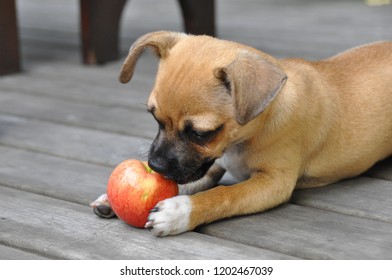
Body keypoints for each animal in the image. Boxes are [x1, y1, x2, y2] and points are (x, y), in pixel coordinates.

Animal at [92, 31, 392, 236]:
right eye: (154, 118)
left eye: (201, 134)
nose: (154, 166)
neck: (245, 137)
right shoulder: (209, 167)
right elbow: (185, 183)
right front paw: (111, 200)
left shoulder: (273, 183)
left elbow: (225, 195)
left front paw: (180, 211)